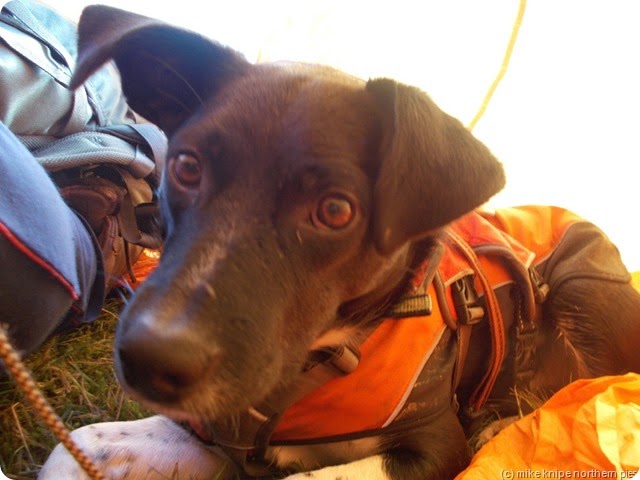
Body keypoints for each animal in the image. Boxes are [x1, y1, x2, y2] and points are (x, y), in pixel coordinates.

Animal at [38, 4, 640, 480]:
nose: (148, 359)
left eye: (335, 210)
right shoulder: (211, 428)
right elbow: (76, 447)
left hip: (581, 284)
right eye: (186, 165)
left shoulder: (435, 444)